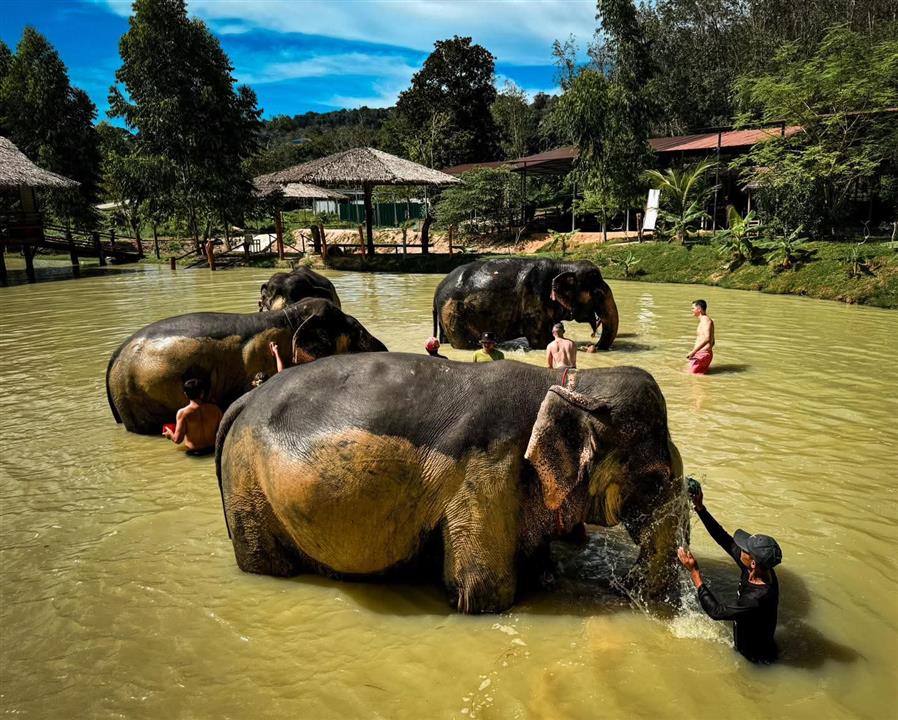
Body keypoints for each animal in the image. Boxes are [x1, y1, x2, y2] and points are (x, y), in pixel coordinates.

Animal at [216, 353, 686, 613]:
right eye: (654, 480)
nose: (624, 589)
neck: (565, 382)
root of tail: (243, 401)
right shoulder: (484, 469)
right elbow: (484, 591)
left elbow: (535, 566)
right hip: (247, 482)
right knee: (266, 562)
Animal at [433, 258, 619, 350]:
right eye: (598, 294)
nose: (592, 346)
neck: (563, 265)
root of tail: (437, 292)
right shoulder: (533, 299)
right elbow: (541, 341)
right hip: (453, 314)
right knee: (464, 344)